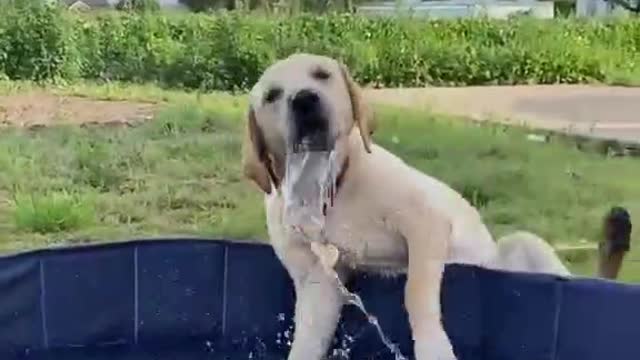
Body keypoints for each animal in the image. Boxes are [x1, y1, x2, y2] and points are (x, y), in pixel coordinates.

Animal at [241, 53, 568, 360]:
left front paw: (433, 348)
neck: (326, 189)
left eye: (322, 74)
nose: (305, 100)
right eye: (272, 95)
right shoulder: (319, 280)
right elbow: (309, 335)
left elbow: (415, 291)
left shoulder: (427, 222)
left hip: (525, 244)